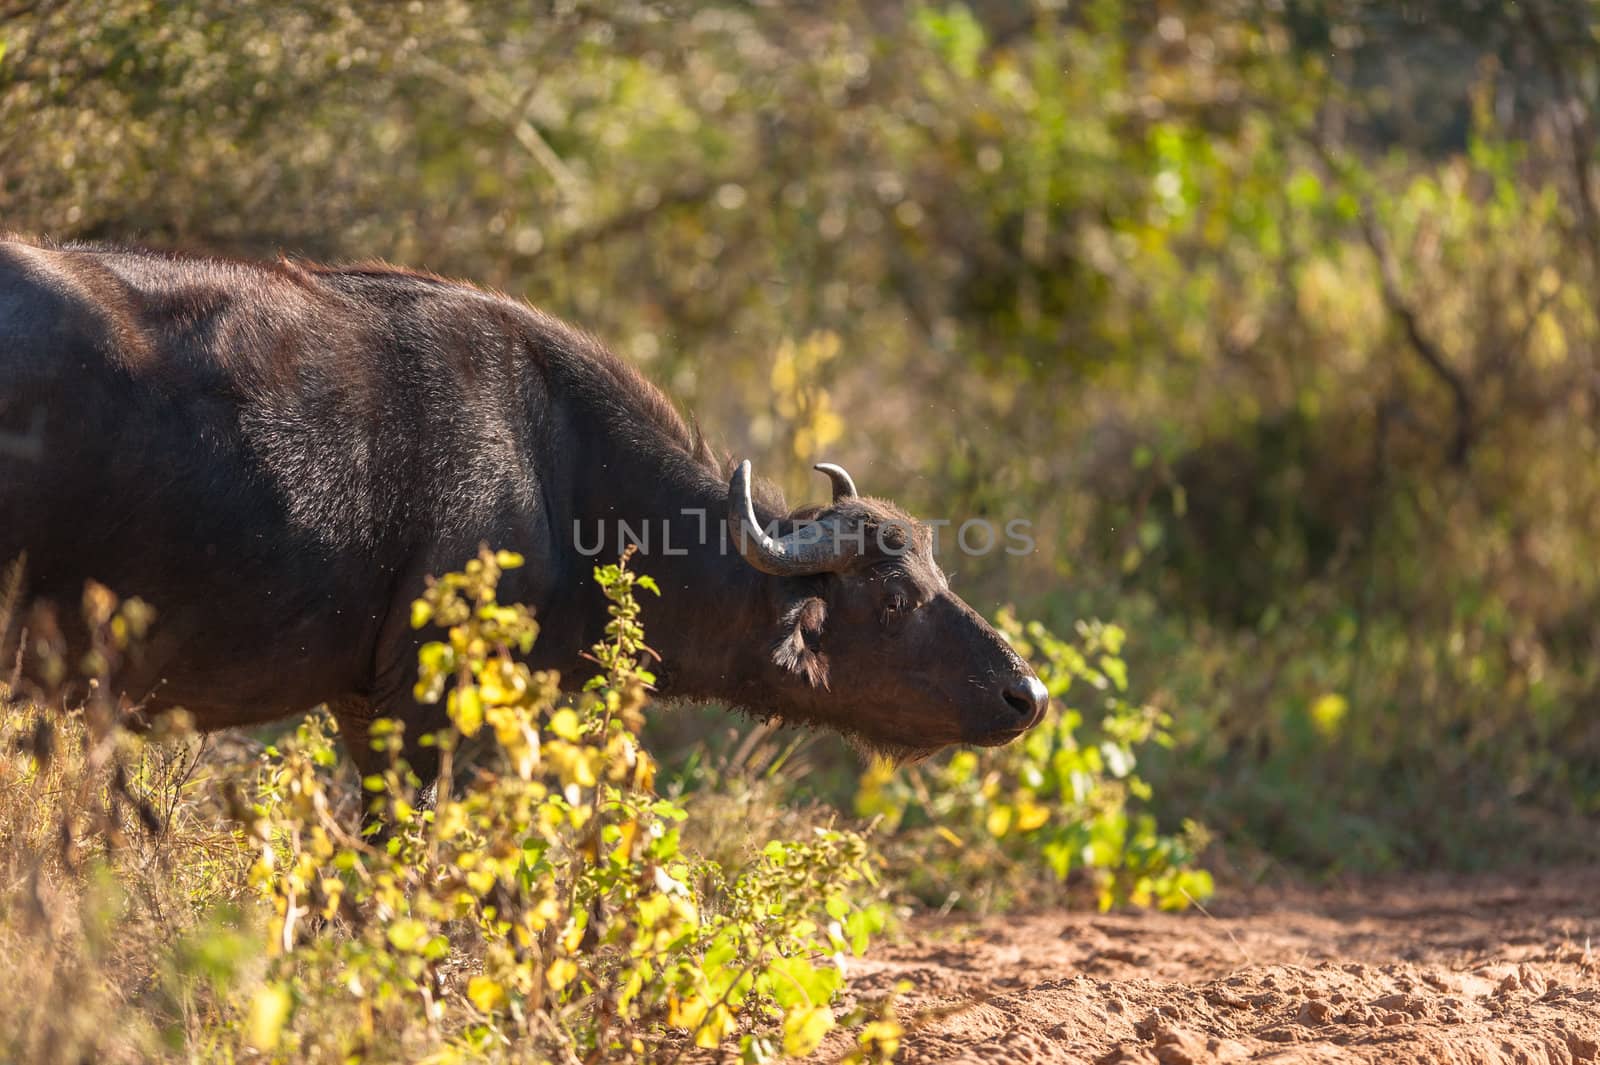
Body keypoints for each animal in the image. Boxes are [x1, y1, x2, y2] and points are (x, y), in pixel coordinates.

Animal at [3, 239, 1049, 780]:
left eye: (936, 570)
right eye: (893, 599)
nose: (1026, 695)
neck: (558, 477)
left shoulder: (363, 705)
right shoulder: (429, 706)